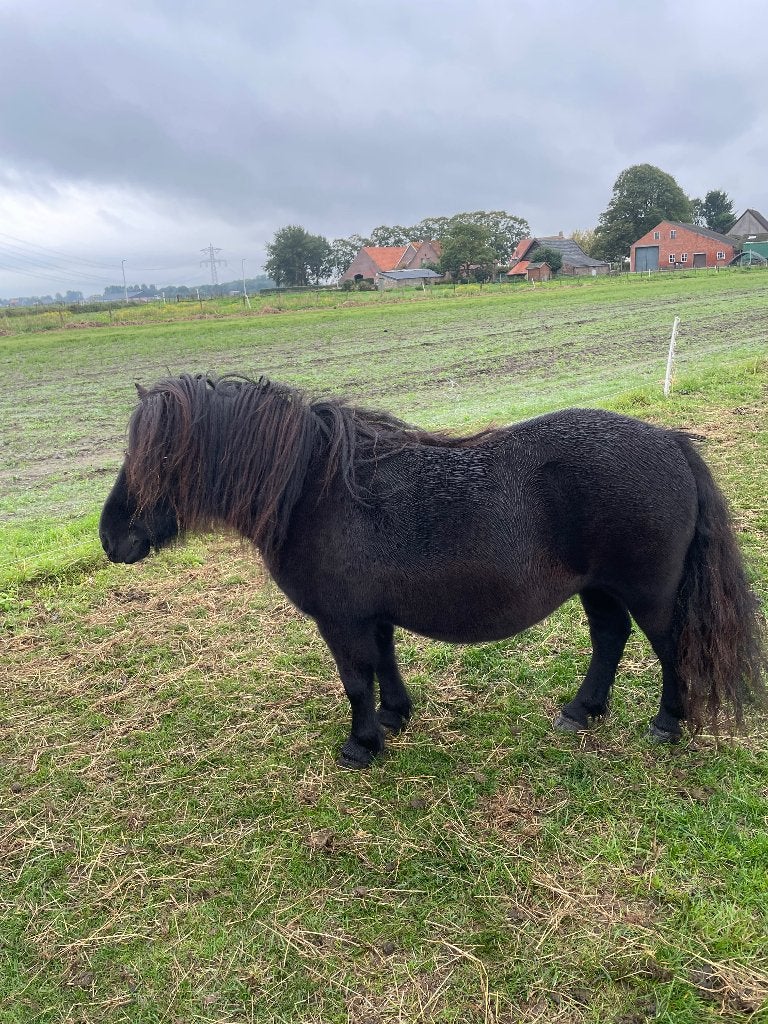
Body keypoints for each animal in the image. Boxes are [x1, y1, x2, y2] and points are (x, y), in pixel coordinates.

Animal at [99, 373, 766, 769]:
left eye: (156, 462)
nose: (110, 538)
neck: (315, 492)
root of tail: (669, 442)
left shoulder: (341, 620)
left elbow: (356, 679)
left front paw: (362, 745)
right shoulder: (372, 614)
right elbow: (384, 664)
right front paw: (395, 717)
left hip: (649, 593)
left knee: (672, 648)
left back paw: (667, 724)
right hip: (599, 587)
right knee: (610, 638)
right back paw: (581, 711)